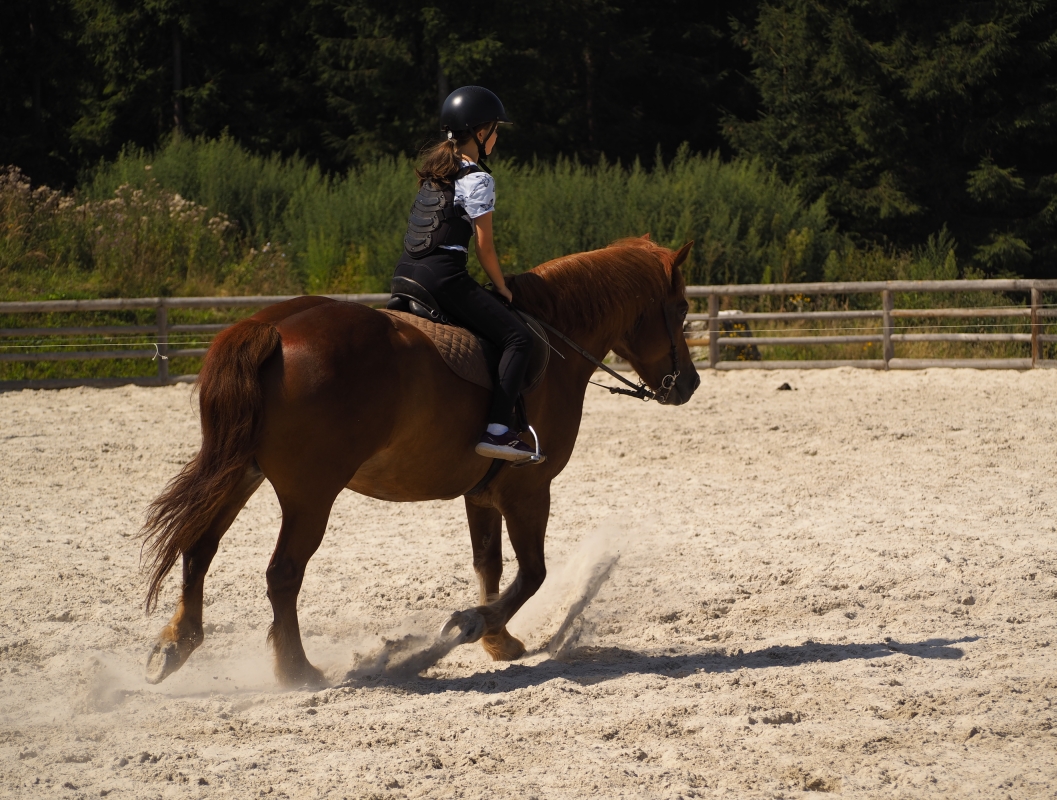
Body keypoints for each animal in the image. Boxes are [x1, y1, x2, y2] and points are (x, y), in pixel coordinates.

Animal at [140, 236, 700, 687]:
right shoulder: (528, 490)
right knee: (282, 573)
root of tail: (272, 327)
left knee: (199, 548)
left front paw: (498, 640)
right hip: (309, 494)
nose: (690, 384)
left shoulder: (484, 493)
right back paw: (298, 670)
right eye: (680, 309)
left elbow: (489, 565)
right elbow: (532, 574)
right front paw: (469, 626)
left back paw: (176, 644)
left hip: (241, 472)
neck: (553, 342)